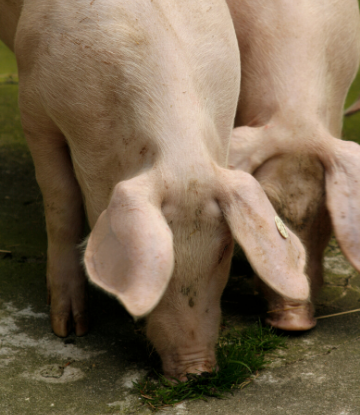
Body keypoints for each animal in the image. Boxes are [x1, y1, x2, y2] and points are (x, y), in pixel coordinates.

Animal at [1, 0, 308, 380]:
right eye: (164, 258)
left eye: (225, 250)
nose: (198, 370)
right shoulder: (34, 104)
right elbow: (62, 206)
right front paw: (69, 328)